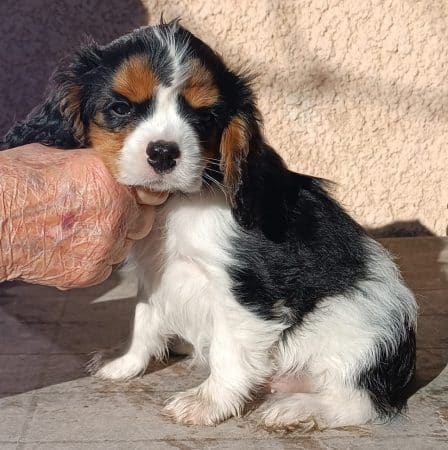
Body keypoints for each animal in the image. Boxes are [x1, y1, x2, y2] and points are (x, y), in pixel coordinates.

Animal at [1, 21, 418, 428]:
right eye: (120, 108)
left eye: (204, 118)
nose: (163, 152)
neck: (179, 201)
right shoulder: (154, 272)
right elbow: (144, 320)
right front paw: (124, 363)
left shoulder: (244, 288)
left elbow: (227, 351)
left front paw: (207, 402)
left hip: (357, 333)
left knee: (361, 401)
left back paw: (299, 409)